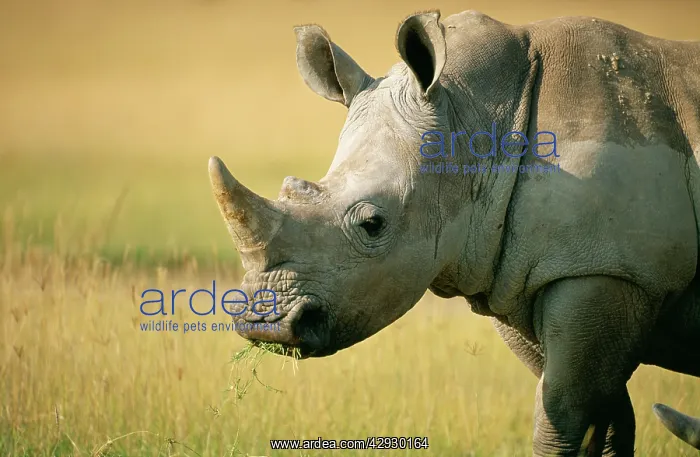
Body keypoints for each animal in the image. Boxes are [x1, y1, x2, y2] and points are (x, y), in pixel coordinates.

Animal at [208, 9, 700, 456]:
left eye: (373, 224)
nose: (267, 327)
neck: (477, 120)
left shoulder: (606, 270)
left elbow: (561, 415)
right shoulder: (517, 274)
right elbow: (607, 418)